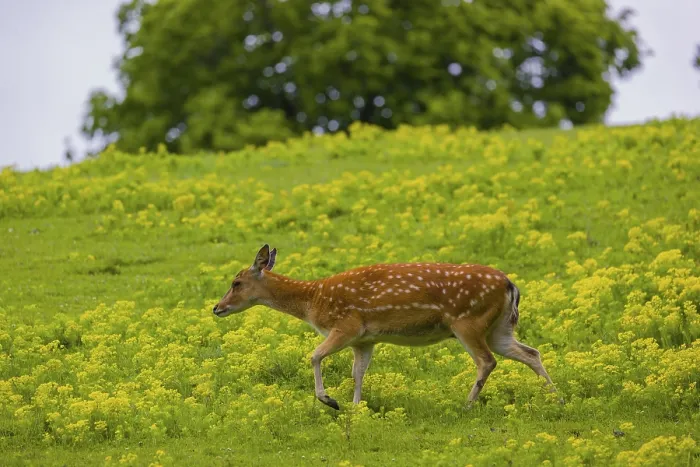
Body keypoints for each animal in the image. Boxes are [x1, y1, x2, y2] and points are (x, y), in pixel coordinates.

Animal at [212, 244, 556, 410]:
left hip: (468, 321)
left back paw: (467, 405)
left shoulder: (346, 325)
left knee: (487, 361)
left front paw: (330, 401)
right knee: (530, 352)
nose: (217, 307)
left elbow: (314, 356)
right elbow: (358, 372)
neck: (314, 301)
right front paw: (354, 407)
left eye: (236, 282)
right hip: (498, 328)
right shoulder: (365, 339)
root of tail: (511, 285)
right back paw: (557, 397)